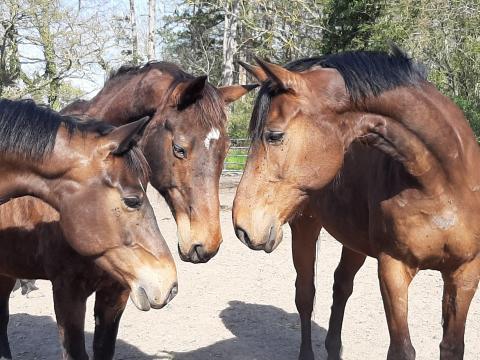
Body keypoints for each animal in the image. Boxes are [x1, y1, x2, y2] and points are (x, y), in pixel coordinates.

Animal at [233, 48, 480, 360]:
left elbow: (452, 346)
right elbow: (401, 349)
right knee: (306, 294)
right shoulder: (393, 269)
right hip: (305, 227)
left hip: (354, 241)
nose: (242, 226)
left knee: (341, 286)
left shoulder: (465, 271)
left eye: (274, 135)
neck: (441, 181)